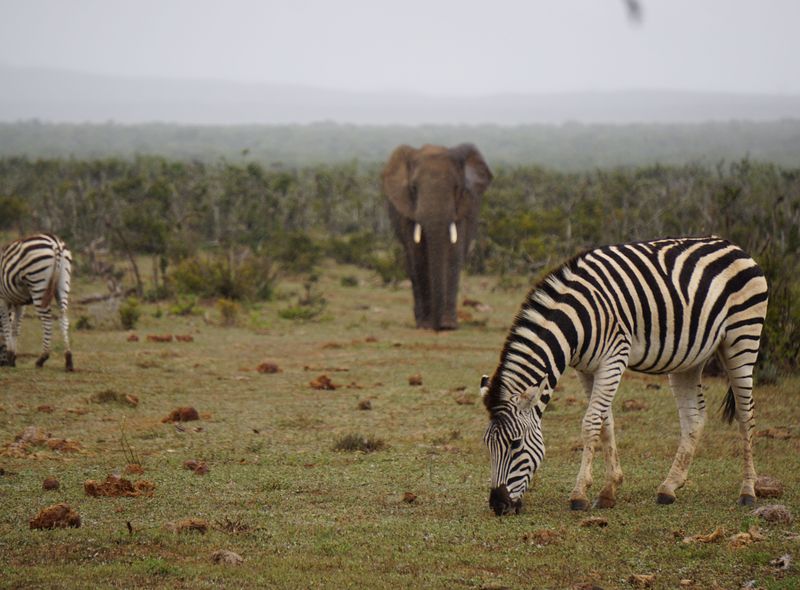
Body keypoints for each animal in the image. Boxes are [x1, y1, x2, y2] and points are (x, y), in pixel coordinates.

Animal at [382, 143, 493, 331]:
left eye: (457, 188)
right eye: (414, 188)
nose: (437, 326)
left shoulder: (460, 210)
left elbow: (454, 255)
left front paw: (448, 326)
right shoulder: (408, 212)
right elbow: (418, 256)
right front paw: (426, 325)